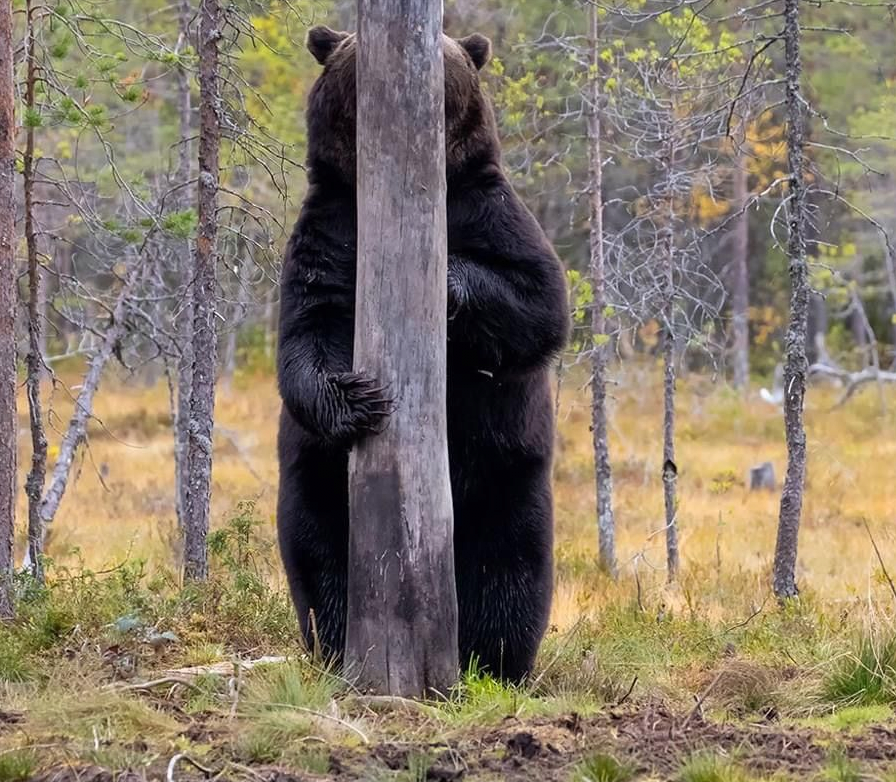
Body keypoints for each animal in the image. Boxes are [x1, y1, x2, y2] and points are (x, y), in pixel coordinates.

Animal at [276, 27, 572, 684]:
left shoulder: (487, 208)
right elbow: (307, 331)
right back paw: (337, 646)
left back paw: (495, 663)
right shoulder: (331, 229)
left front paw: (449, 280)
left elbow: (539, 301)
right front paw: (359, 398)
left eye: (447, 52)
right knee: (319, 557)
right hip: (318, 482)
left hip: (506, 476)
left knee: (509, 570)